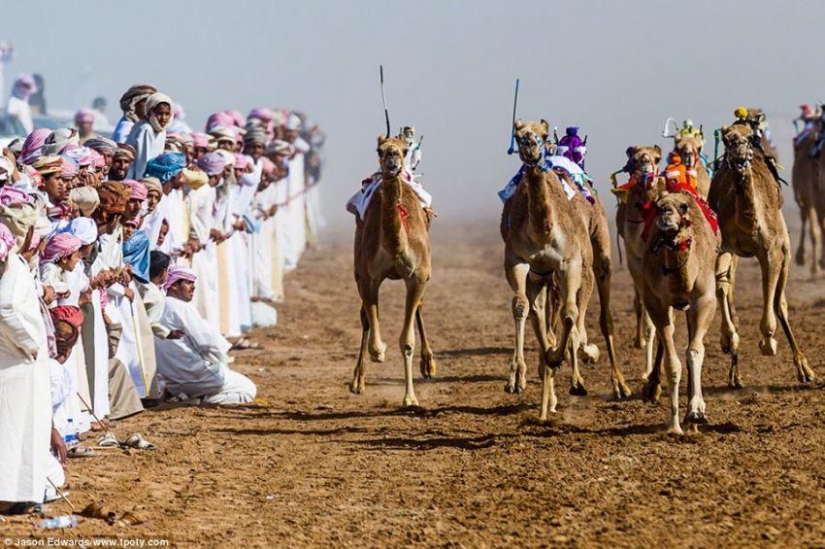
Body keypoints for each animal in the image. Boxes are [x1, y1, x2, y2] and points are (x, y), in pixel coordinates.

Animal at [350, 135, 434, 404]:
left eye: (405, 149)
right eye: (379, 149)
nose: (392, 159)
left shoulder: (418, 276)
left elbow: (407, 341)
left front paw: (410, 398)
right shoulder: (368, 277)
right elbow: (373, 334)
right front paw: (379, 354)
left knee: (419, 307)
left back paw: (429, 366)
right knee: (364, 317)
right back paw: (357, 381)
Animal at [640, 191, 716, 434]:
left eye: (683, 207)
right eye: (657, 206)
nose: (665, 212)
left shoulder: (704, 299)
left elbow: (694, 351)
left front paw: (696, 411)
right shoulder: (656, 302)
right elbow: (672, 363)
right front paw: (674, 426)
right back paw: (652, 387)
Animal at [704, 124, 816, 388]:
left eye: (749, 138)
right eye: (727, 140)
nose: (740, 155)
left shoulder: (772, 250)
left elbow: (771, 296)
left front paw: (768, 342)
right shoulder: (727, 245)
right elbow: (722, 287)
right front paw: (728, 338)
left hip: (785, 247)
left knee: (780, 302)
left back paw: (804, 370)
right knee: (730, 287)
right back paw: (735, 374)